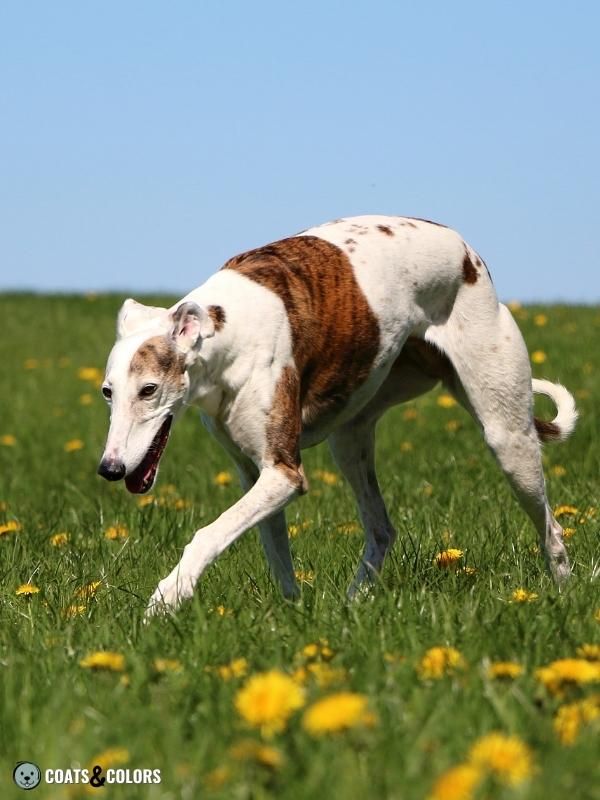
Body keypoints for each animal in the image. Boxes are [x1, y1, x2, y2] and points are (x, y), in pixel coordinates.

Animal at [97, 216, 576, 616]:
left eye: (149, 390)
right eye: (107, 392)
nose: (109, 469)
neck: (225, 328)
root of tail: (465, 249)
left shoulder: (284, 474)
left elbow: (208, 534)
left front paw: (166, 598)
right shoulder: (254, 474)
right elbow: (276, 552)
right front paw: (292, 615)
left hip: (506, 434)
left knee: (551, 527)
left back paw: (562, 593)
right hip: (350, 436)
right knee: (381, 528)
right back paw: (353, 602)